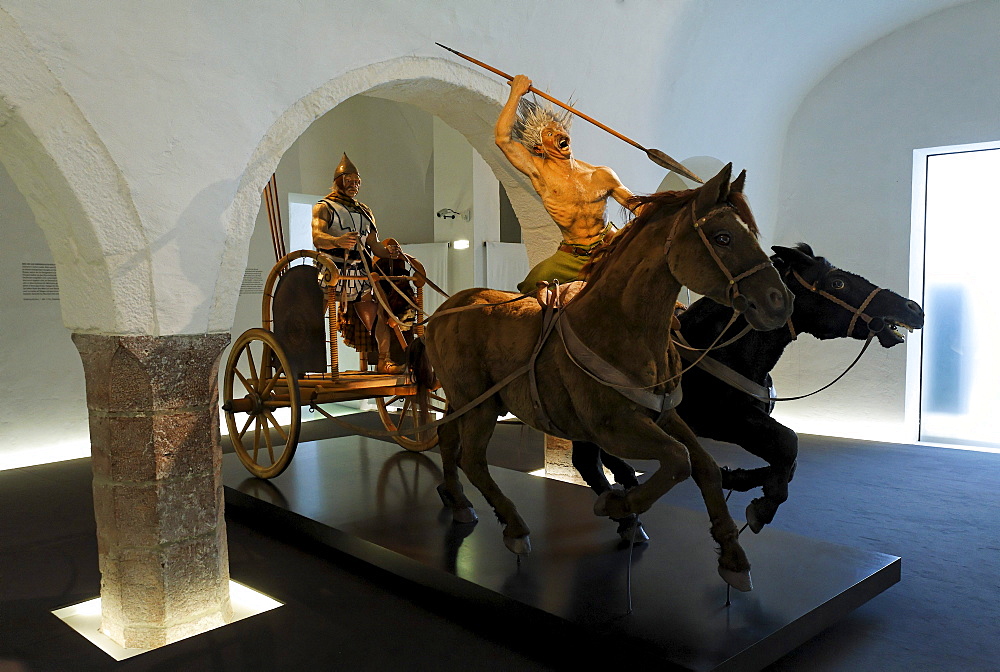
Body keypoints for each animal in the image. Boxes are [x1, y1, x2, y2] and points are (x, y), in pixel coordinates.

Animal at [412, 165, 788, 592]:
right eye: (722, 237)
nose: (780, 301)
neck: (620, 327)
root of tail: (442, 311)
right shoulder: (613, 428)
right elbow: (678, 461)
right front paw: (618, 504)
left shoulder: (665, 415)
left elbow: (704, 463)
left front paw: (733, 556)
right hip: (482, 405)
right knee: (473, 459)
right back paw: (515, 527)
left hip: (462, 400)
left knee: (447, 438)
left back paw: (458, 503)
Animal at [576, 244, 924, 540]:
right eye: (837, 283)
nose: (913, 308)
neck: (724, 348)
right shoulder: (727, 421)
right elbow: (789, 443)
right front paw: (763, 508)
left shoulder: (750, 419)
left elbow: (788, 464)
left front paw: (736, 478)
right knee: (589, 462)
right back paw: (628, 515)